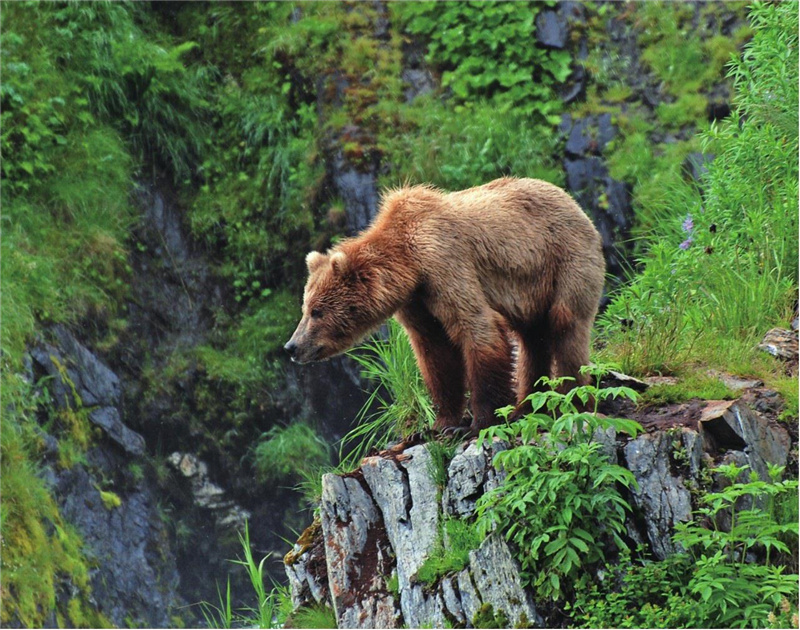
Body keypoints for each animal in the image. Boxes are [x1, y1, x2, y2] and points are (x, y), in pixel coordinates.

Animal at [284, 178, 604, 434]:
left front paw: (478, 422)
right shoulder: (417, 301)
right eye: (305, 308)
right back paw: (526, 406)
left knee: (566, 326)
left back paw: (573, 399)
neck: (409, 265)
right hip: (532, 292)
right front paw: (441, 423)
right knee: (532, 340)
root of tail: (573, 202)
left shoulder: (444, 263)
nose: (292, 346)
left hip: (565, 260)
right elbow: (435, 352)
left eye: (317, 311)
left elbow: (477, 329)